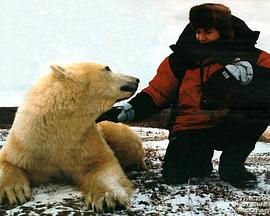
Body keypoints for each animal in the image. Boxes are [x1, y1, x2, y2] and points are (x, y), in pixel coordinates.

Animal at [0, 61, 143, 212]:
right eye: (107, 68)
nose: (136, 80)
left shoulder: (84, 140)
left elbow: (103, 164)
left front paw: (108, 198)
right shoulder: (27, 141)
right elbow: (8, 161)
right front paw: (13, 192)